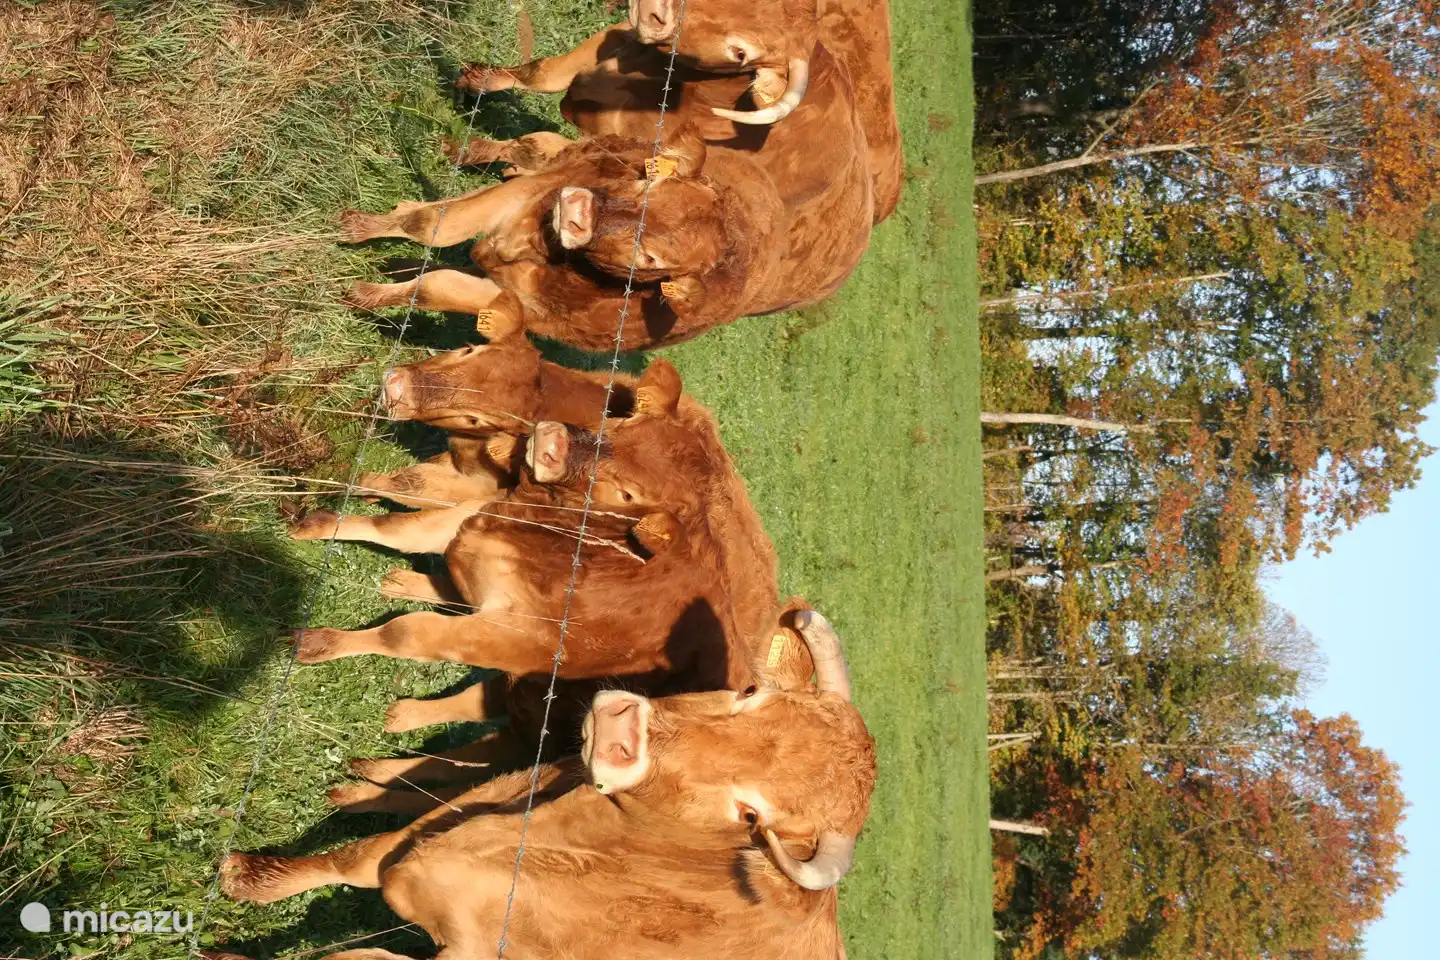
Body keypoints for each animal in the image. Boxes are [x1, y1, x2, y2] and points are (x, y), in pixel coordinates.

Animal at [220, 610, 875, 960]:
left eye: (752, 817)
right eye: (748, 692)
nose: (622, 730)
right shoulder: (463, 814)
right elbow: (352, 858)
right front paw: (249, 877)